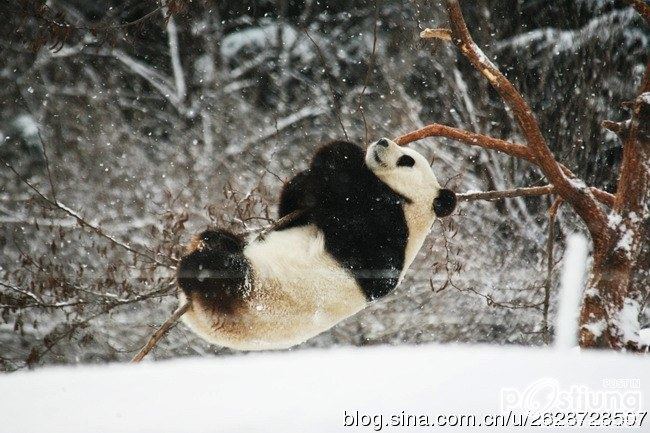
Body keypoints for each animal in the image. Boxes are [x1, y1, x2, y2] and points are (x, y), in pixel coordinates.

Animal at [177, 138, 456, 350]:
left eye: (407, 160)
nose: (383, 141)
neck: (411, 206)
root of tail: (197, 316)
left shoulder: (390, 232)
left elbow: (354, 223)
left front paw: (343, 154)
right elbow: (294, 206)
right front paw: (307, 177)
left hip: (247, 290)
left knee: (222, 272)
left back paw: (195, 266)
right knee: (221, 241)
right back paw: (215, 240)